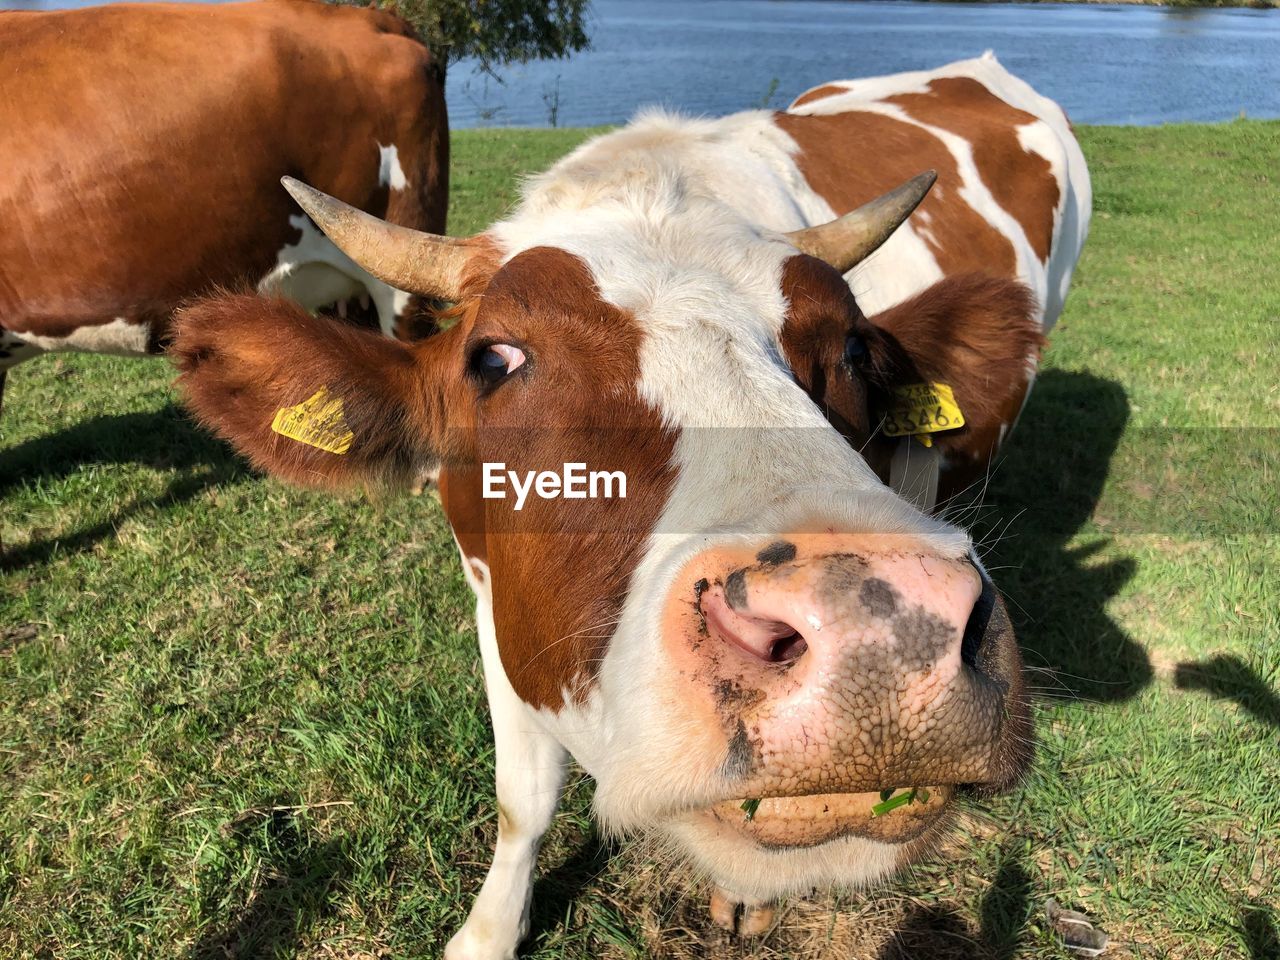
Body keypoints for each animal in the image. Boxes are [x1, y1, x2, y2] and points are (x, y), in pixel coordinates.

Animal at [170, 54, 1090, 960]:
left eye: (856, 350)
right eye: (494, 358)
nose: (883, 634)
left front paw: (746, 896)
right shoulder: (497, 598)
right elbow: (523, 795)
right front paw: (489, 929)